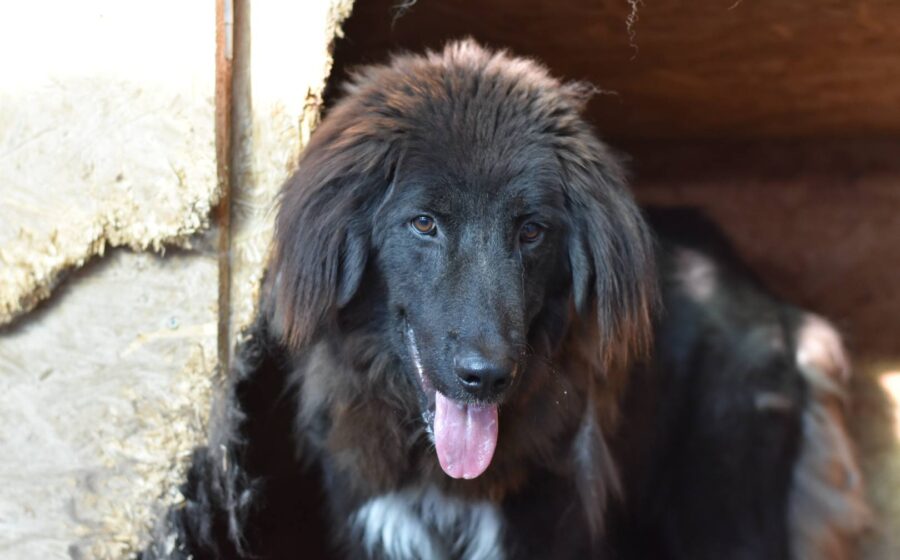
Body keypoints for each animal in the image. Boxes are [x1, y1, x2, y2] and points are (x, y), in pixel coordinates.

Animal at [146, 41, 868, 559]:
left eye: (531, 231)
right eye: (424, 224)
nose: (486, 377)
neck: (442, 476)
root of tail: (767, 299)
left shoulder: (548, 525)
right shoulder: (379, 522)